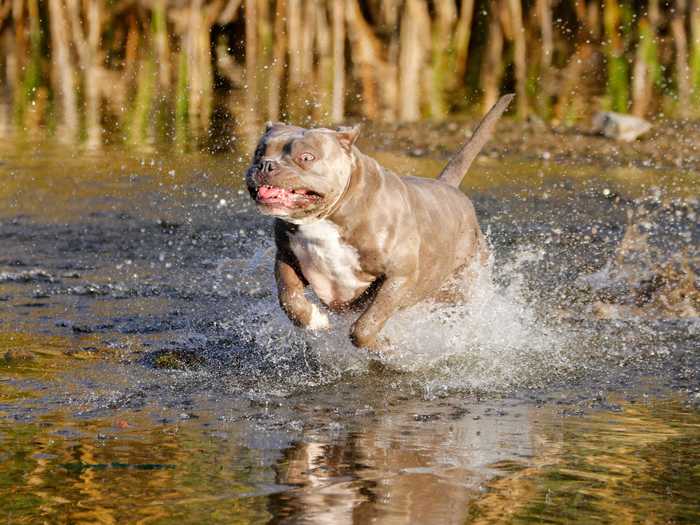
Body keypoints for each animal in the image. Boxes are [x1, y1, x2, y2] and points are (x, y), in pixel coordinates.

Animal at [246, 95, 516, 348]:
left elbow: (367, 324)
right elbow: (289, 298)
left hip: (460, 284)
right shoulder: (287, 257)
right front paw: (315, 320)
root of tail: (448, 186)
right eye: (259, 152)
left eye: (306, 157)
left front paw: (384, 345)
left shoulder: (399, 276)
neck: (328, 217)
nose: (266, 165)